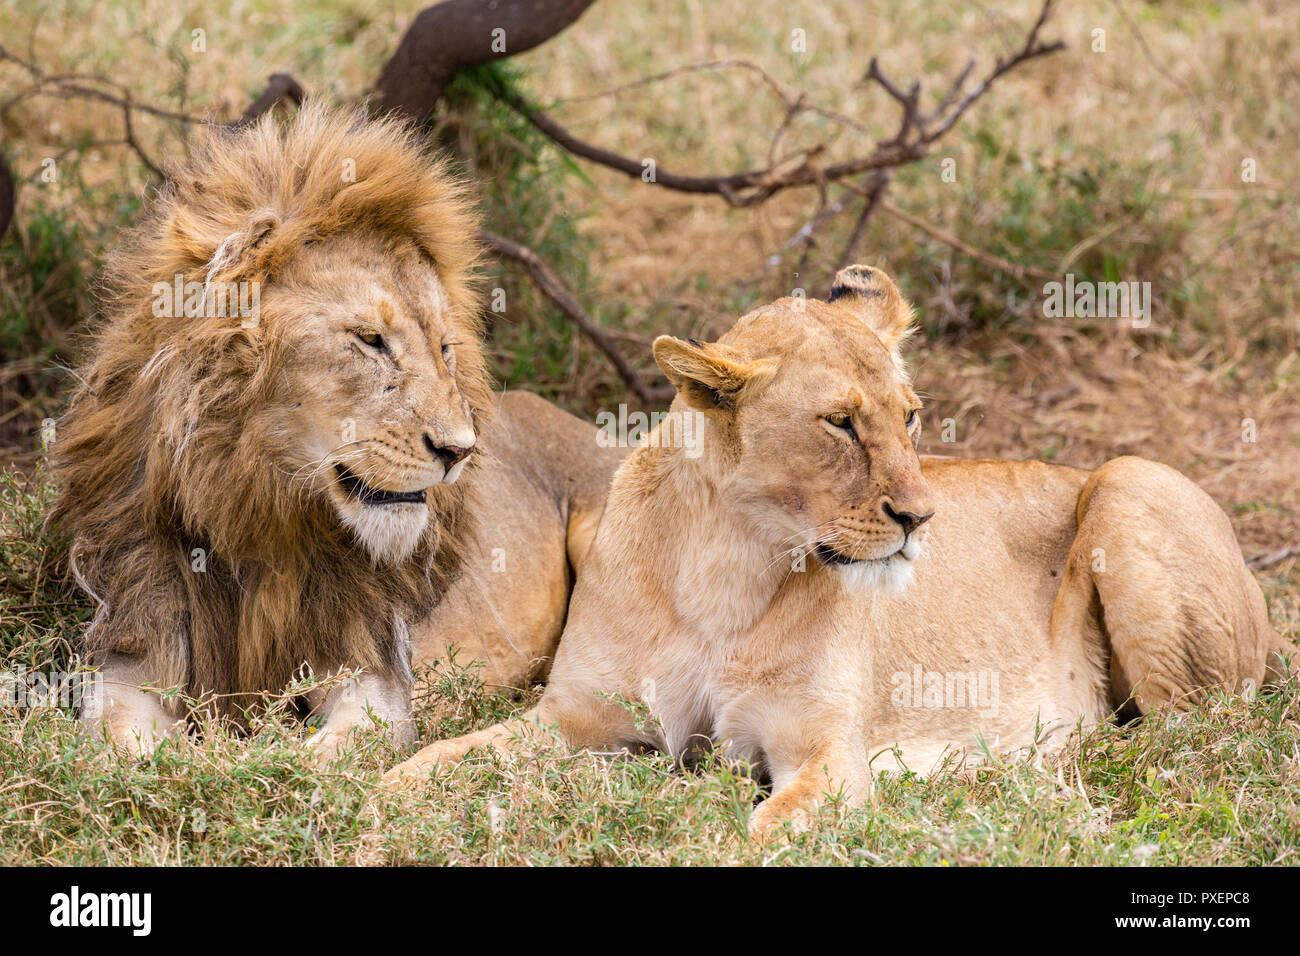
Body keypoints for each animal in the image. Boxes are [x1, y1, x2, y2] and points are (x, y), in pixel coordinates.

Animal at [58, 104, 626, 759]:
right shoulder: (133, 650)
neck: (258, 517)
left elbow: (327, 757)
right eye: (371, 340)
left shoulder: (375, 674)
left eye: (444, 348)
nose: (460, 450)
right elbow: (123, 750)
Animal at [382, 267, 1289, 837]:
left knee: (1186, 736)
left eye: (911, 415)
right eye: (841, 423)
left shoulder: (824, 753)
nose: (923, 517)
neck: (727, 562)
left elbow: (763, 835)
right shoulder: (580, 717)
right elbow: (440, 757)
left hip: (1129, 480)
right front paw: (379, 798)